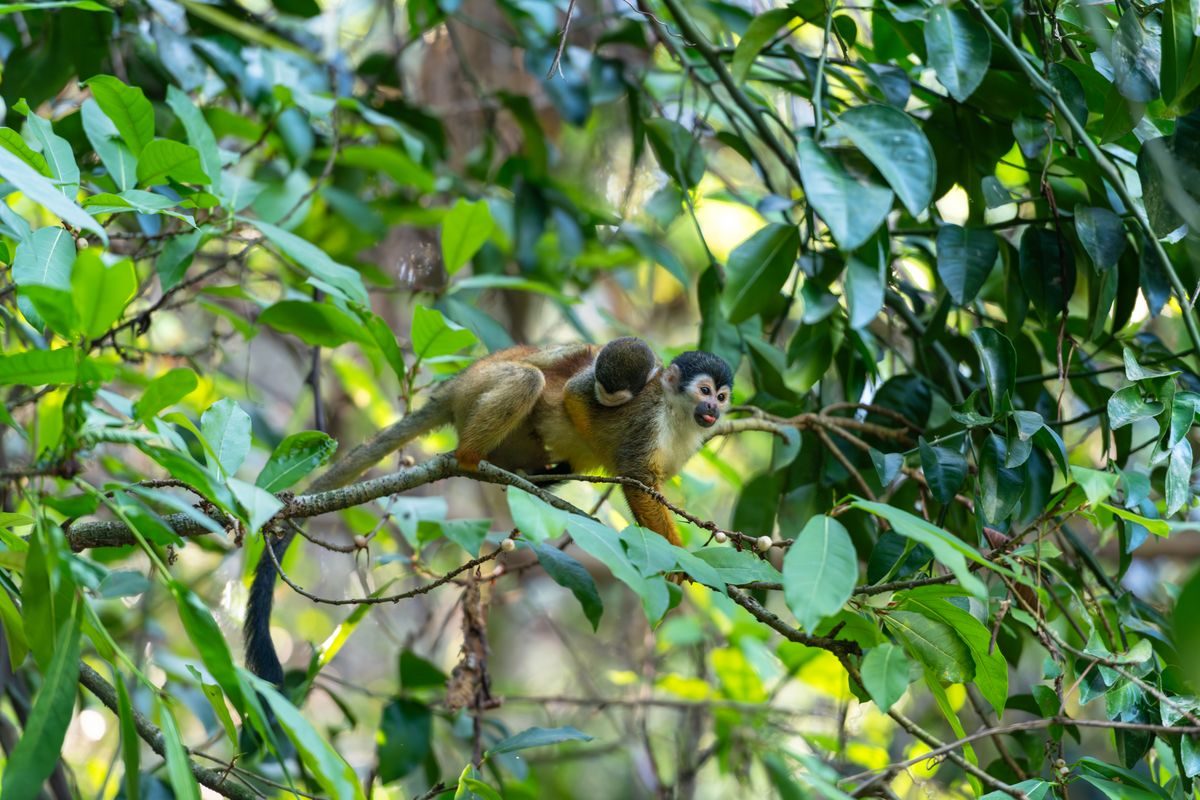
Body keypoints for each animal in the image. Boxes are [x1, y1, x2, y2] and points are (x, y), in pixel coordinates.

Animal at [243, 338, 733, 684]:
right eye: (704, 390)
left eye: (723, 396)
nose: (712, 408)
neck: (676, 415)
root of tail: (457, 383)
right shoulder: (646, 420)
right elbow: (635, 481)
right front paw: (680, 559)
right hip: (484, 385)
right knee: (529, 380)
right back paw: (470, 455)